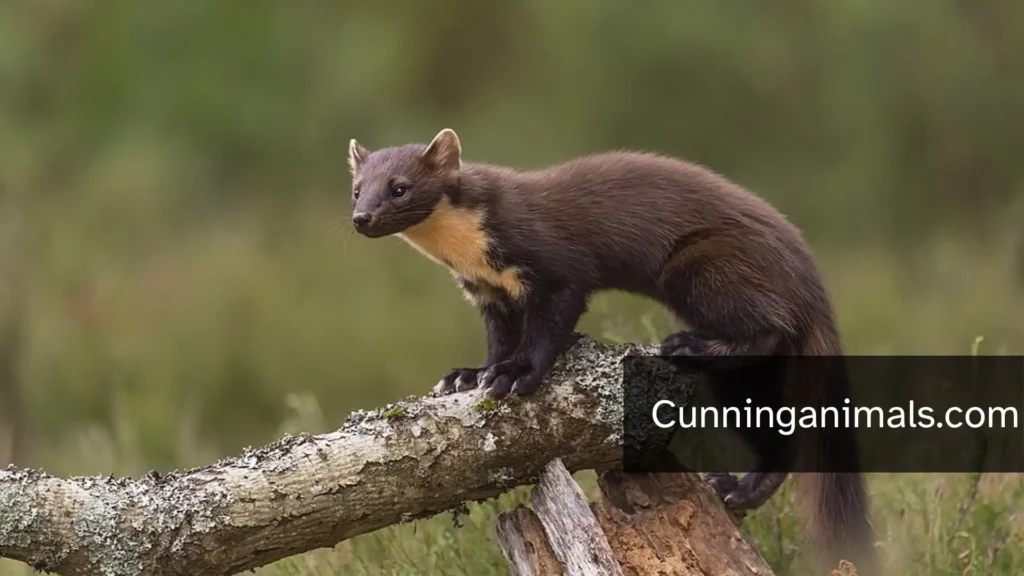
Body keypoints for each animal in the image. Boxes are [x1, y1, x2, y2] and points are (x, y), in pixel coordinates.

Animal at [348, 128, 878, 574]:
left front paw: (515, 374)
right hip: (748, 379)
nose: (362, 218)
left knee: (766, 327)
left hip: (701, 265)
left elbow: (549, 326)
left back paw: (689, 343)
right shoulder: (489, 294)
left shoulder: (556, 269)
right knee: (776, 434)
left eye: (399, 187)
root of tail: (810, 277)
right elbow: (498, 341)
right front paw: (468, 374)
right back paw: (737, 488)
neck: (471, 255)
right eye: (356, 188)